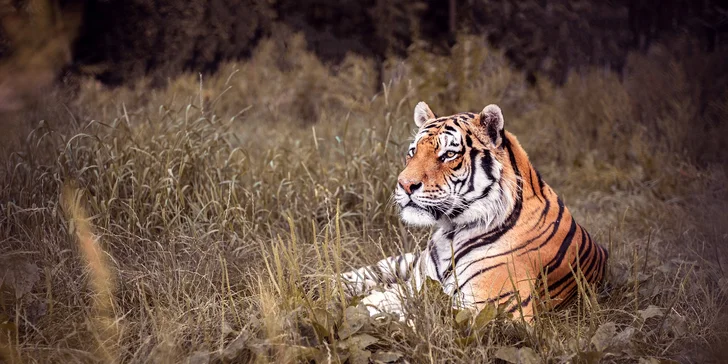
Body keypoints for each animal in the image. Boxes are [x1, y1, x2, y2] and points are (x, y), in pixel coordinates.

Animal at [342, 101, 608, 322]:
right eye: (412, 152)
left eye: (449, 154)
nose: (405, 185)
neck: (449, 231)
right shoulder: (418, 281)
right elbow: (391, 295)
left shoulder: (495, 308)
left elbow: (419, 313)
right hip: (406, 261)